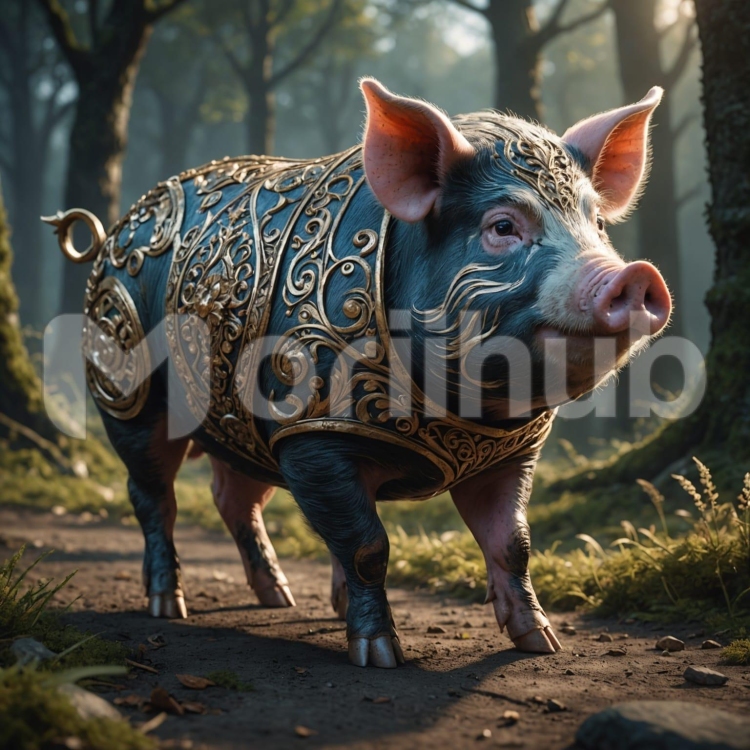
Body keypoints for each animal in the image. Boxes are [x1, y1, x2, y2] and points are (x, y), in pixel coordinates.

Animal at [46, 77, 671, 668]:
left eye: (596, 223)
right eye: (501, 226)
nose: (634, 275)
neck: (457, 414)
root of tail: (112, 235)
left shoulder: (508, 451)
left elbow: (512, 542)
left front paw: (541, 644)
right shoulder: (312, 434)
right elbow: (367, 544)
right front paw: (380, 655)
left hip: (240, 421)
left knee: (233, 496)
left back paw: (279, 598)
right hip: (126, 394)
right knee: (153, 495)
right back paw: (168, 604)